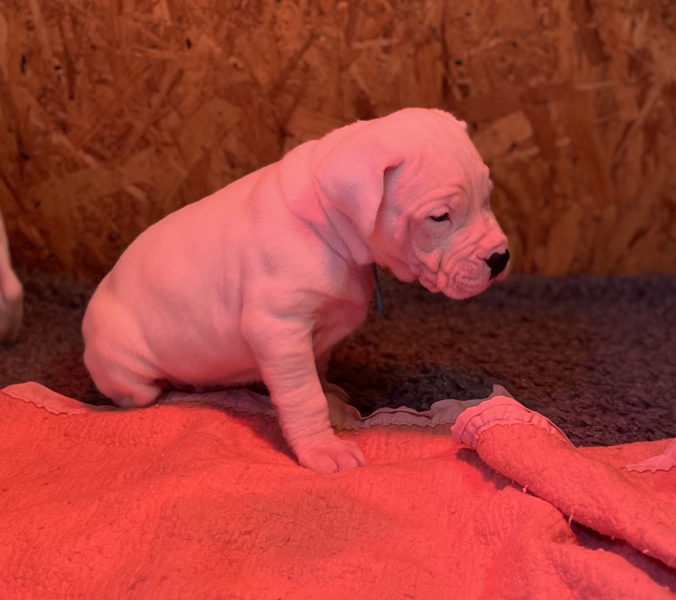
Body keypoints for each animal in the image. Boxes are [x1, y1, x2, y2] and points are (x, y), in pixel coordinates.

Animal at [83, 108, 509, 473]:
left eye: (487, 196)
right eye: (439, 217)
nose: (501, 258)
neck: (327, 224)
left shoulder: (314, 337)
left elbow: (316, 375)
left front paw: (333, 402)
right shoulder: (280, 329)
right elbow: (302, 396)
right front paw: (323, 449)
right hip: (125, 370)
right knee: (140, 395)